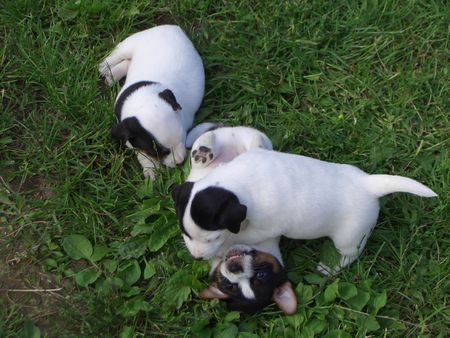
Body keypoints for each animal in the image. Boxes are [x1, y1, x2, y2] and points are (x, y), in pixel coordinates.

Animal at [99, 25, 205, 178]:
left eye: (183, 137)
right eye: (159, 152)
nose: (180, 162)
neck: (143, 101)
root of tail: (174, 28)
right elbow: (142, 153)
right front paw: (150, 169)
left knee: (127, 62)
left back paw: (112, 74)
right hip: (132, 43)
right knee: (119, 53)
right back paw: (106, 66)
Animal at [171, 149, 436, 274]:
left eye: (213, 238)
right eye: (185, 233)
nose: (196, 257)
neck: (236, 183)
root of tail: (368, 184)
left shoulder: (262, 228)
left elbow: (239, 237)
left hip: (349, 237)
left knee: (351, 255)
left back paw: (331, 268)